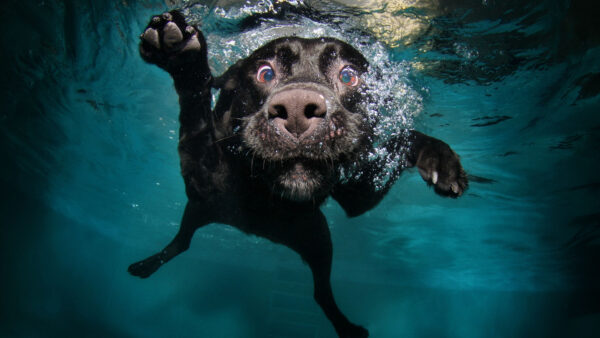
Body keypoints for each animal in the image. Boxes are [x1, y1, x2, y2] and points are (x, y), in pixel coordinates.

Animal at [130, 11, 468, 338]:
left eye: (349, 75)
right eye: (265, 73)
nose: (295, 110)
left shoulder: (359, 195)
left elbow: (403, 139)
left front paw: (439, 159)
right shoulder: (202, 176)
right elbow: (195, 117)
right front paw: (182, 56)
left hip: (317, 239)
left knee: (320, 292)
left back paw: (347, 328)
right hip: (201, 210)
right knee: (182, 242)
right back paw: (146, 266)